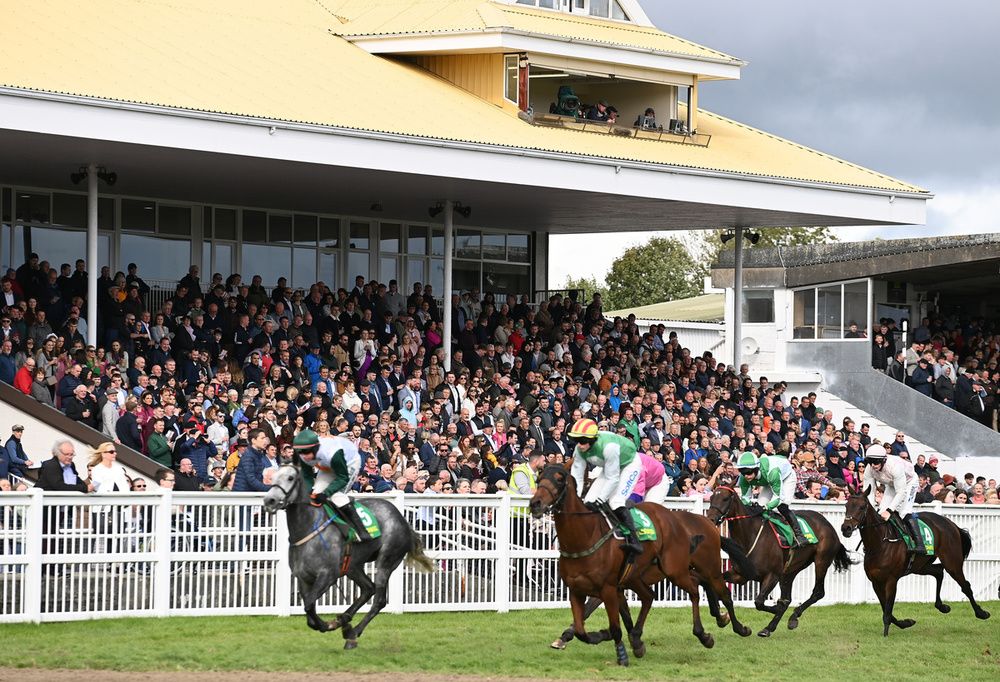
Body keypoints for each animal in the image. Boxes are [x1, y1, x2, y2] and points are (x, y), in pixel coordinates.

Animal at [262, 460, 434, 644]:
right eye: (272, 477)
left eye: (290, 478)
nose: (269, 500)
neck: (309, 528)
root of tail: (403, 520)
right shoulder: (303, 577)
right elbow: (309, 609)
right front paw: (331, 623)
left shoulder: (328, 575)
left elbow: (308, 605)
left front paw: (327, 625)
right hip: (352, 566)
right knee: (368, 589)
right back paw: (344, 619)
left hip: (387, 560)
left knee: (379, 600)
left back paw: (354, 631)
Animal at [532, 462, 752, 664]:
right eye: (539, 477)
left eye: (560, 479)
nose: (535, 503)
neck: (589, 535)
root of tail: (707, 523)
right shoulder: (614, 584)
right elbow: (608, 616)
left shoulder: (610, 585)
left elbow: (596, 612)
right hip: (680, 570)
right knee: (692, 586)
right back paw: (719, 617)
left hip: (701, 568)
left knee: (720, 594)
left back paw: (734, 628)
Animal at [704, 486, 852, 636]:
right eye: (711, 498)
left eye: (725, 498)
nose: (710, 519)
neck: (750, 535)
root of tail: (828, 525)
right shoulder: (741, 575)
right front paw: (721, 616)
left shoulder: (772, 575)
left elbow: (759, 602)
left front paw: (775, 607)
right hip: (790, 571)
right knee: (788, 598)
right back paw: (771, 627)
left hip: (821, 561)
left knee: (818, 592)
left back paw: (792, 617)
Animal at [840, 486, 988, 636]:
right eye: (846, 505)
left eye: (861, 507)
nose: (846, 528)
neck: (880, 543)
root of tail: (951, 524)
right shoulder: (876, 581)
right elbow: (887, 611)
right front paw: (906, 623)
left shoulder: (891, 580)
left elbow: (888, 610)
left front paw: (886, 634)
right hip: (920, 566)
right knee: (939, 571)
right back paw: (942, 606)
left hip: (952, 563)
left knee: (965, 586)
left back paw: (981, 613)